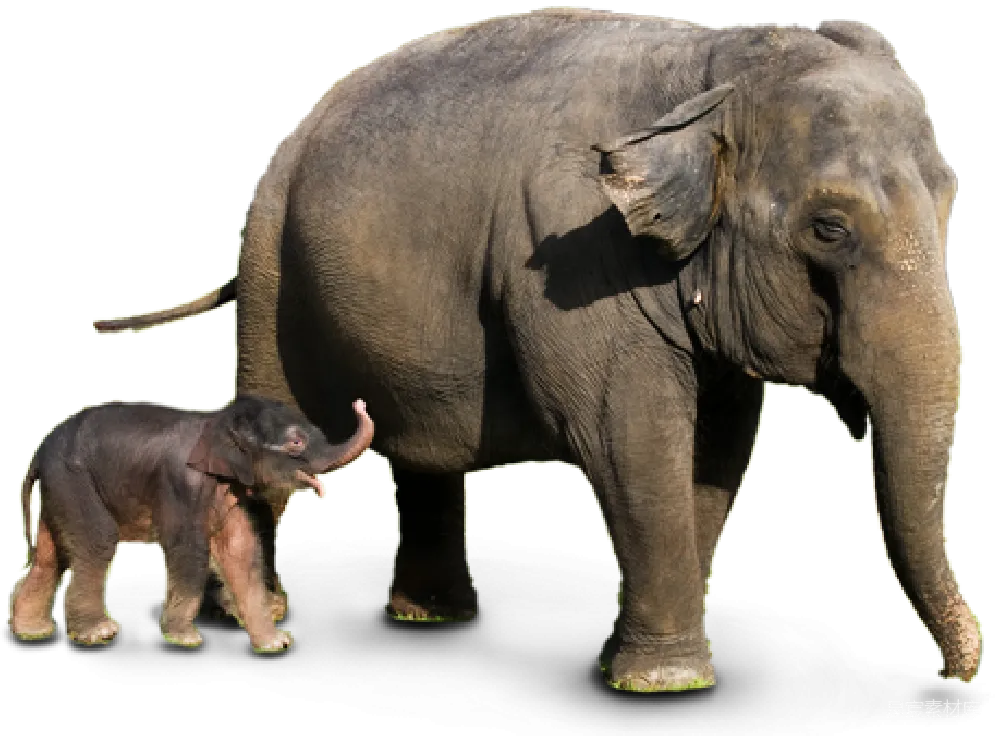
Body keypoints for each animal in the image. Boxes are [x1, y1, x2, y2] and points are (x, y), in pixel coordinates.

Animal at [9, 394, 374, 652]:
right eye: (296, 443)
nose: (360, 403)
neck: (220, 421)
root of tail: (38, 454)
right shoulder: (183, 484)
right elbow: (189, 549)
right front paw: (185, 639)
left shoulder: (233, 489)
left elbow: (241, 552)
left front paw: (276, 642)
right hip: (73, 478)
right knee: (97, 542)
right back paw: (99, 632)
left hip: (61, 488)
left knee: (50, 557)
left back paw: (32, 631)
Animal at [89, 9, 978, 689]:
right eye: (829, 229)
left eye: (949, 210)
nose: (958, 672)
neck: (710, 65)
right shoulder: (575, 261)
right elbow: (632, 439)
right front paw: (664, 680)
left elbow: (716, 452)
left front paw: (642, 661)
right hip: (276, 268)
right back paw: (258, 613)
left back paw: (428, 615)